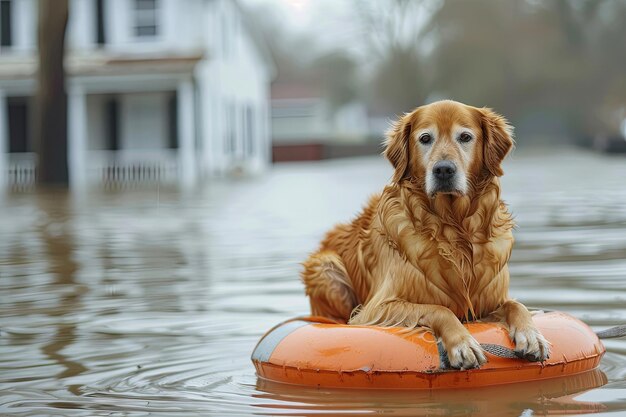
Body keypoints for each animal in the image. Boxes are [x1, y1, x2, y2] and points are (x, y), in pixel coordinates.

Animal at [300, 100, 548, 368]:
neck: (453, 227)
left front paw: (531, 335)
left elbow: (516, 304)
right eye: (426, 138)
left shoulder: (488, 301)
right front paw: (462, 344)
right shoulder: (375, 308)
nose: (443, 170)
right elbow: (439, 309)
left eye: (465, 137)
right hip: (325, 267)